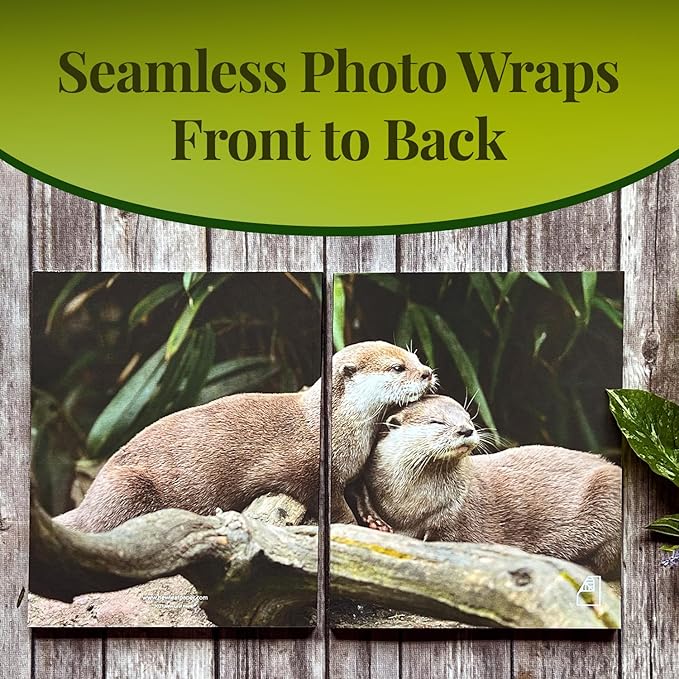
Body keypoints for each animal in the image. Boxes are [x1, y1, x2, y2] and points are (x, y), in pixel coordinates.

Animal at [56, 341, 435, 532]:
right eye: (398, 367)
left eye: (415, 356)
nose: (428, 372)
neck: (342, 431)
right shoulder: (308, 468)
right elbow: (330, 503)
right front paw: (354, 525)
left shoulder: (354, 468)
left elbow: (361, 493)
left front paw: (375, 522)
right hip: (127, 485)